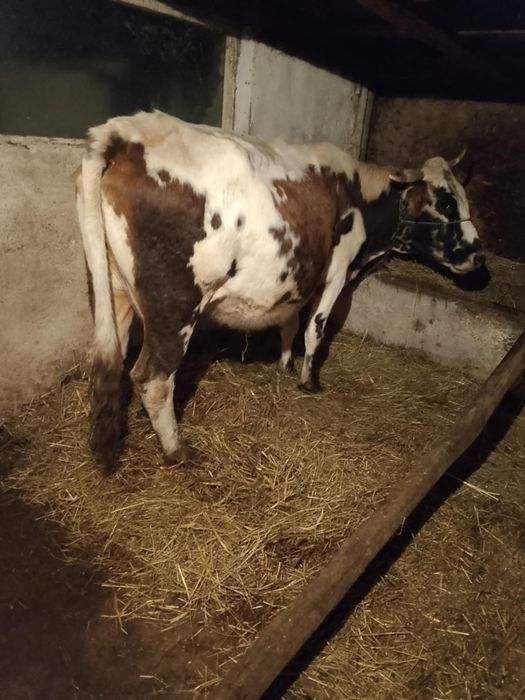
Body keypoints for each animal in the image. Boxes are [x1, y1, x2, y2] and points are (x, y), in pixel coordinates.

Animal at [76, 111, 484, 472]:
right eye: (446, 200)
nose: (478, 255)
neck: (359, 193)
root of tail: (128, 132)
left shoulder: (301, 275)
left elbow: (291, 320)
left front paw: (285, 363)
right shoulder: (336, 269)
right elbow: (316, 326)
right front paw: (308, 381)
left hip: (115, 290)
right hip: (174, 306)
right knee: (155, 379)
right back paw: (177, 450)